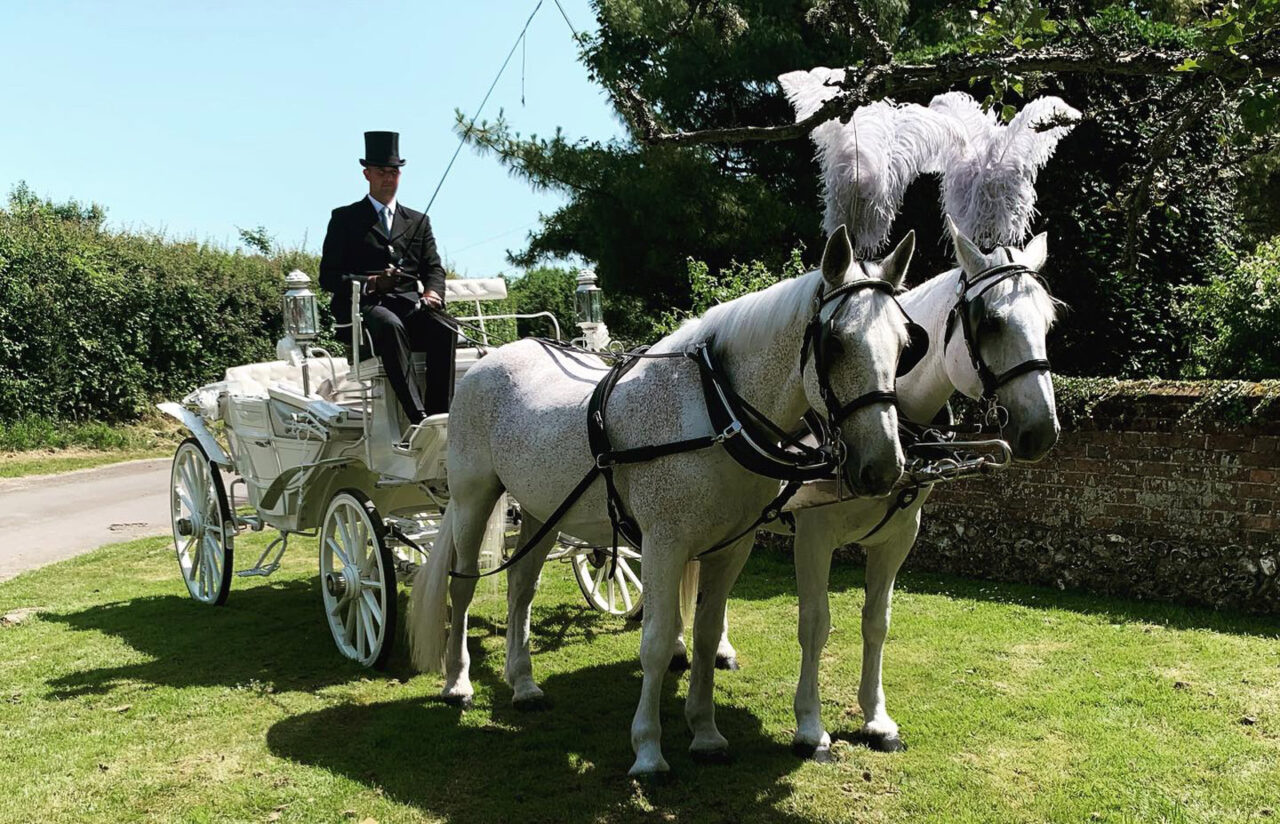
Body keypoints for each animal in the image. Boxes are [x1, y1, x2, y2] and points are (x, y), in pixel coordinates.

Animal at [409, 226, 920, 775]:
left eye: (905, 345)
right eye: (835, 342)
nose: (884, 466)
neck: (715, 410)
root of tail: (490, 359)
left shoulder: (729, 548)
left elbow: (704, 634)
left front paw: (706, 733)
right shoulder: (662, 545)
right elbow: (656, 642)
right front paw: (649, 750)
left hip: (543, 511)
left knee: (521, 586)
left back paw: (523, 683)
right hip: (472, 499)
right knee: (461, 587)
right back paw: (457, 682)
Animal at [692, 216, 1062, 758]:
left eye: (1048, 323)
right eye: (992, 322)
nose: (1042, 430)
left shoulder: (898, 537)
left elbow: (877, 621)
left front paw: (877, 719)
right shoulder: (814, 537)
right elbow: (815, 624)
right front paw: (810, 727)